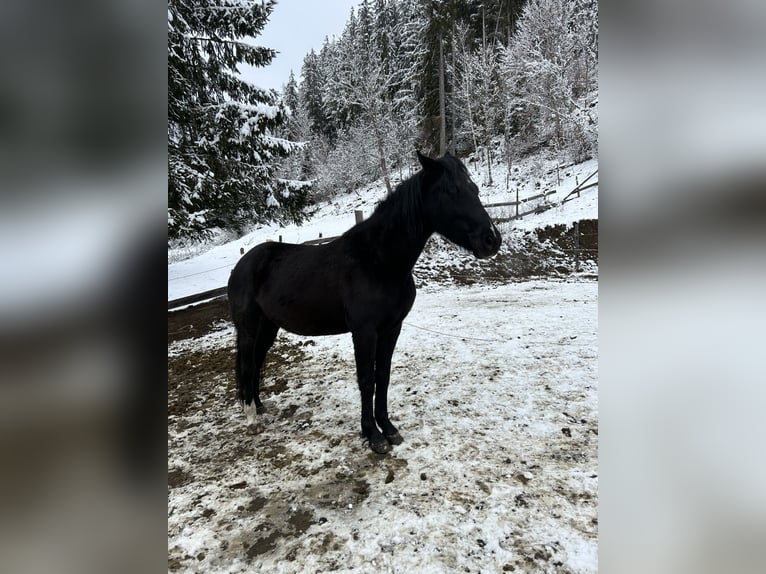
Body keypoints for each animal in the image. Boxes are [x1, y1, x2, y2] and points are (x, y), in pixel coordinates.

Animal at [227, 151, 501, 454]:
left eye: (474, 189)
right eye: (451, 191)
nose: (491, 240)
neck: (378, 261)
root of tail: (243, 264)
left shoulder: (391, 328)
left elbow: (383, 376)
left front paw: (389, 428)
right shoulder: (364, 332)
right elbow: (367, 380)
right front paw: (372, 435)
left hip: (269, 327)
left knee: (257, 362)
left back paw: (260, 406)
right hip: (249, 328)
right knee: (248, 364)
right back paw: (252, 419)